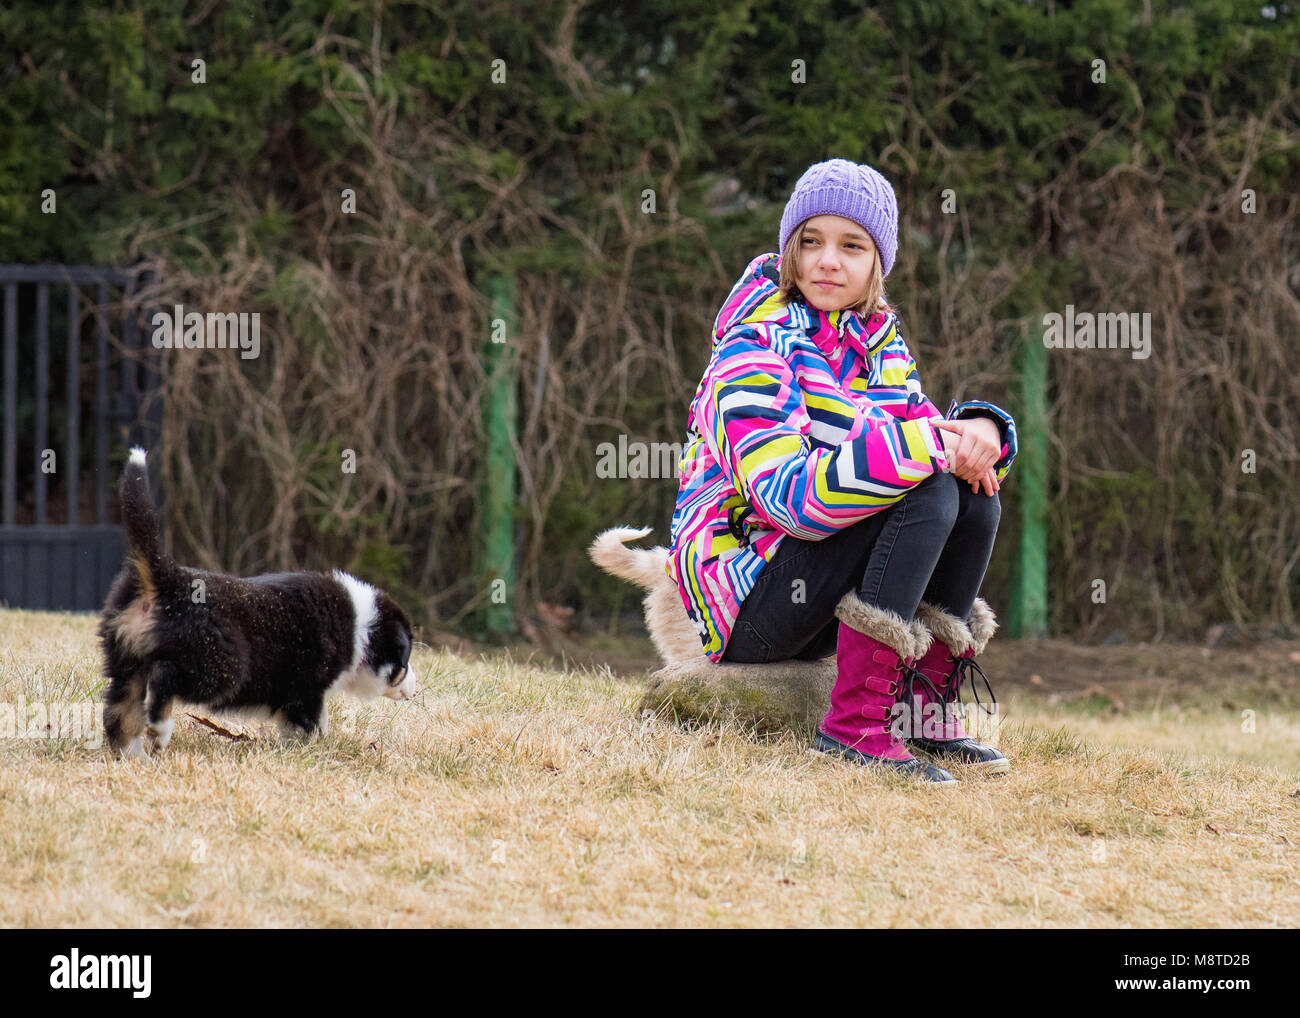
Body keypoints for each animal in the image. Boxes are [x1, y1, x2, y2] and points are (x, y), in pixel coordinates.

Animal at [101, 447, 416, 754]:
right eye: (405, 659)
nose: (415, 688)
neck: (362, 628)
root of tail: (167, 577)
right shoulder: (306, 689)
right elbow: (312, 723)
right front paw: (316, 749)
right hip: (218, 666)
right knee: (163, 678)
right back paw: (159, 731)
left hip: (125, 659)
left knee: (120, 711)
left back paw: (134, 756)